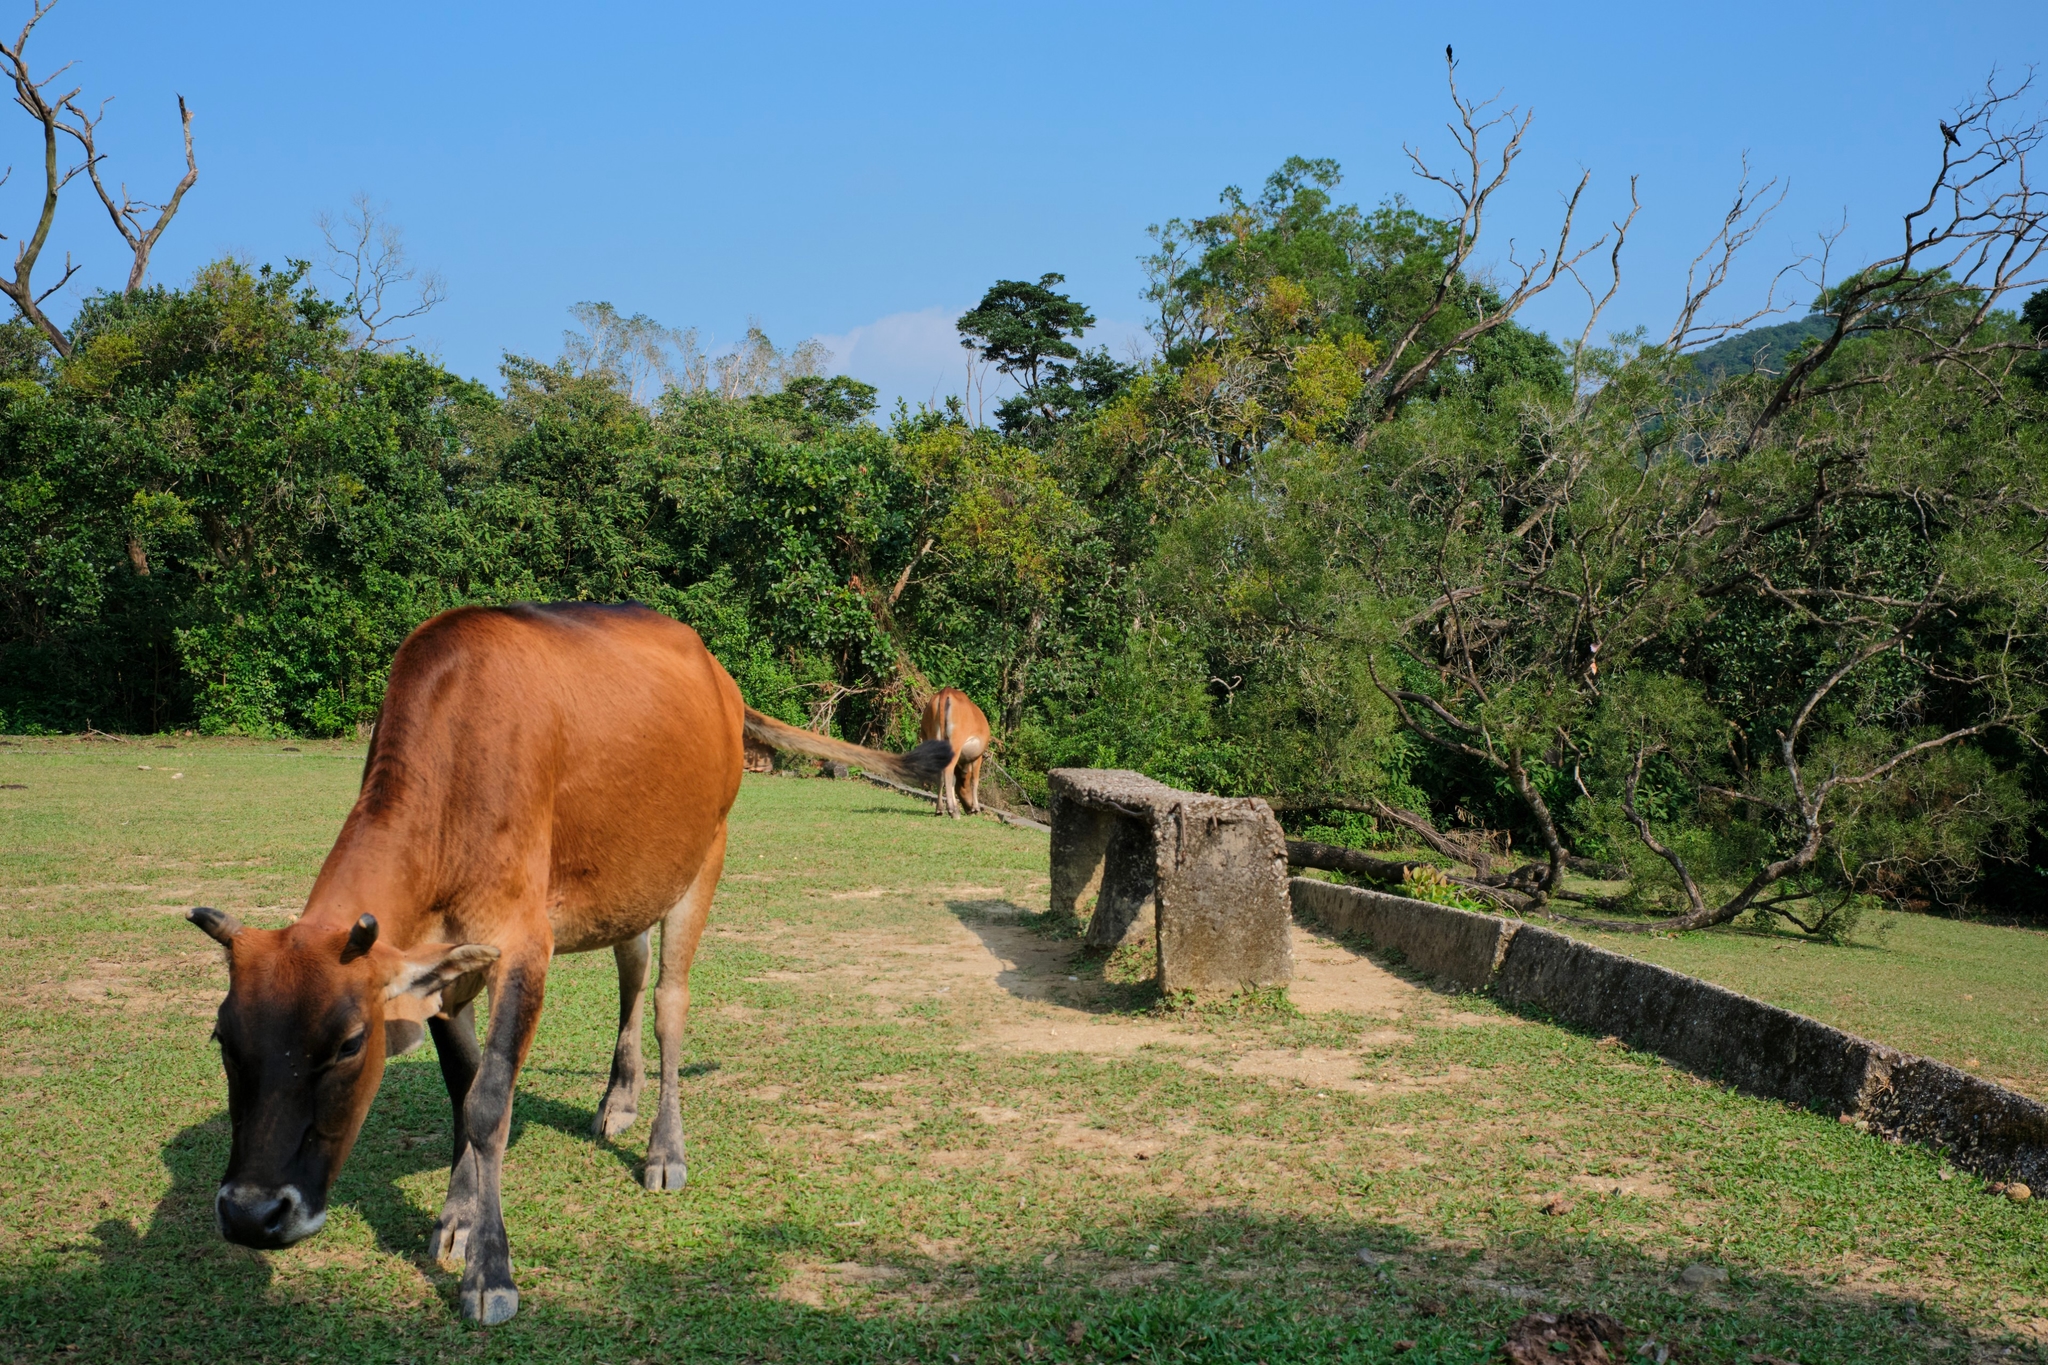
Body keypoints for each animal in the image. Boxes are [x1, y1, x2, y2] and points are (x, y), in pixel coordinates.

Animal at [187, 602, 951, 1324]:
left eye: (349, 1043)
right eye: (224, 1038)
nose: (252, 1213)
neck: (457, 763)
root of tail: (720, 676)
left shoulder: (525, 943)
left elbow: (490, 1102)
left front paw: (490, 1272)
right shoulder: (445, 965)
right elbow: (465, 1090)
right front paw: (456, 1219)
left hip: (704, 856)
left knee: (670, 1000)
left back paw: (664, 1149)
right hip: (628, 878)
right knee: (633, 967)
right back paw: (619, 1098)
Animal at [919, 687, 991, 818]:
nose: (969, 810)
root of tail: (946, 691)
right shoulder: (978, 757)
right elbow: (975, 781)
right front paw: (976, 808)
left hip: (931, 739)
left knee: (941, 773)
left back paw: (940, 809)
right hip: (955, 744)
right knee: (948, 770)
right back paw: (953, 811)